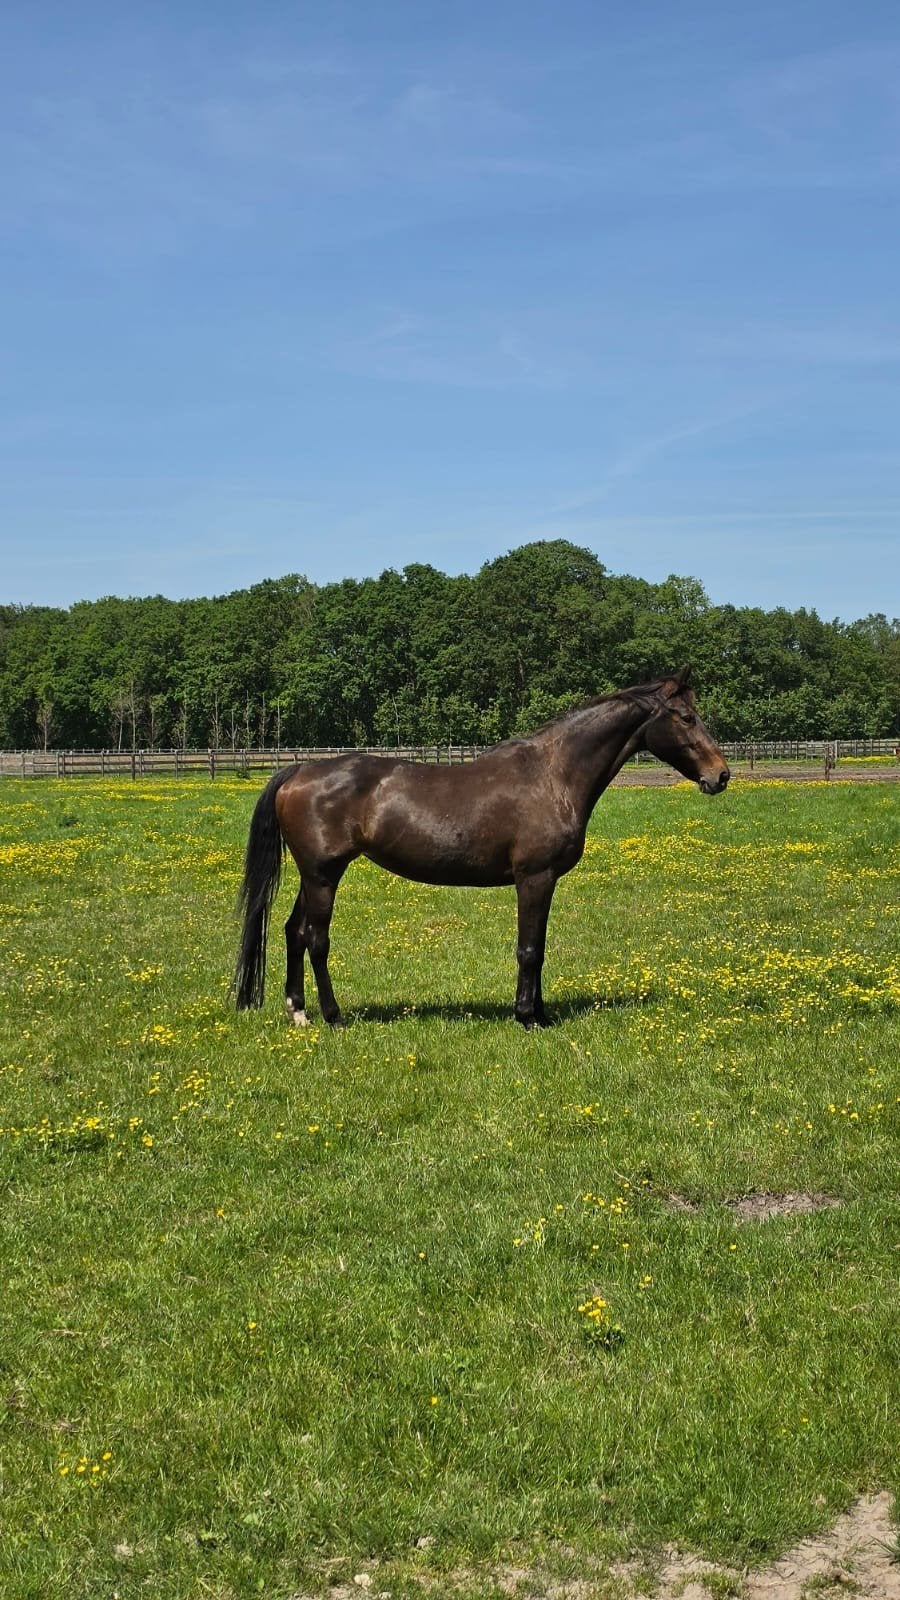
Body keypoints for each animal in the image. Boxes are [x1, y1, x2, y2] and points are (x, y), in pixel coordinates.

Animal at [234, 668, 729, 1029]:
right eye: (687, 718)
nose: (721, 775)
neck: (553, 775)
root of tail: (298, 771)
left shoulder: (542, 881)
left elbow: (538, 946)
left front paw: (541, 1014)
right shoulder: (534, 877)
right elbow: (529, 949)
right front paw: (527, 1018)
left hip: (314, 875)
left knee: (293, 932)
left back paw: (298, 1011)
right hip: (323, 875)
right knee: (316, 939)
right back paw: (334, 1017)